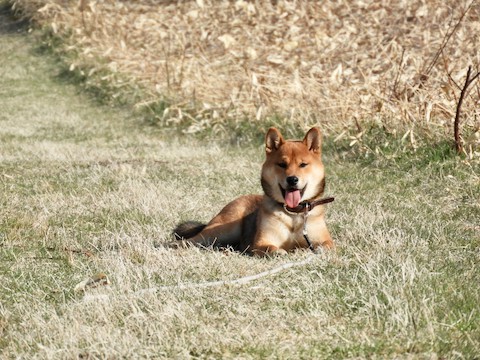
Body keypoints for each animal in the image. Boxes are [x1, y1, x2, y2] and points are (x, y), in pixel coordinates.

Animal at [172, 126, 334, 256]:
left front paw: (315, 250)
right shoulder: (262, 242)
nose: (292, 179)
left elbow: (327, 246)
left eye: (303, 164)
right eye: (282, 164)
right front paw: (280, 252)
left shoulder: (324, 239)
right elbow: (270, 248)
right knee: (192, 240)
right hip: (223, 229)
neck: (293, 214)